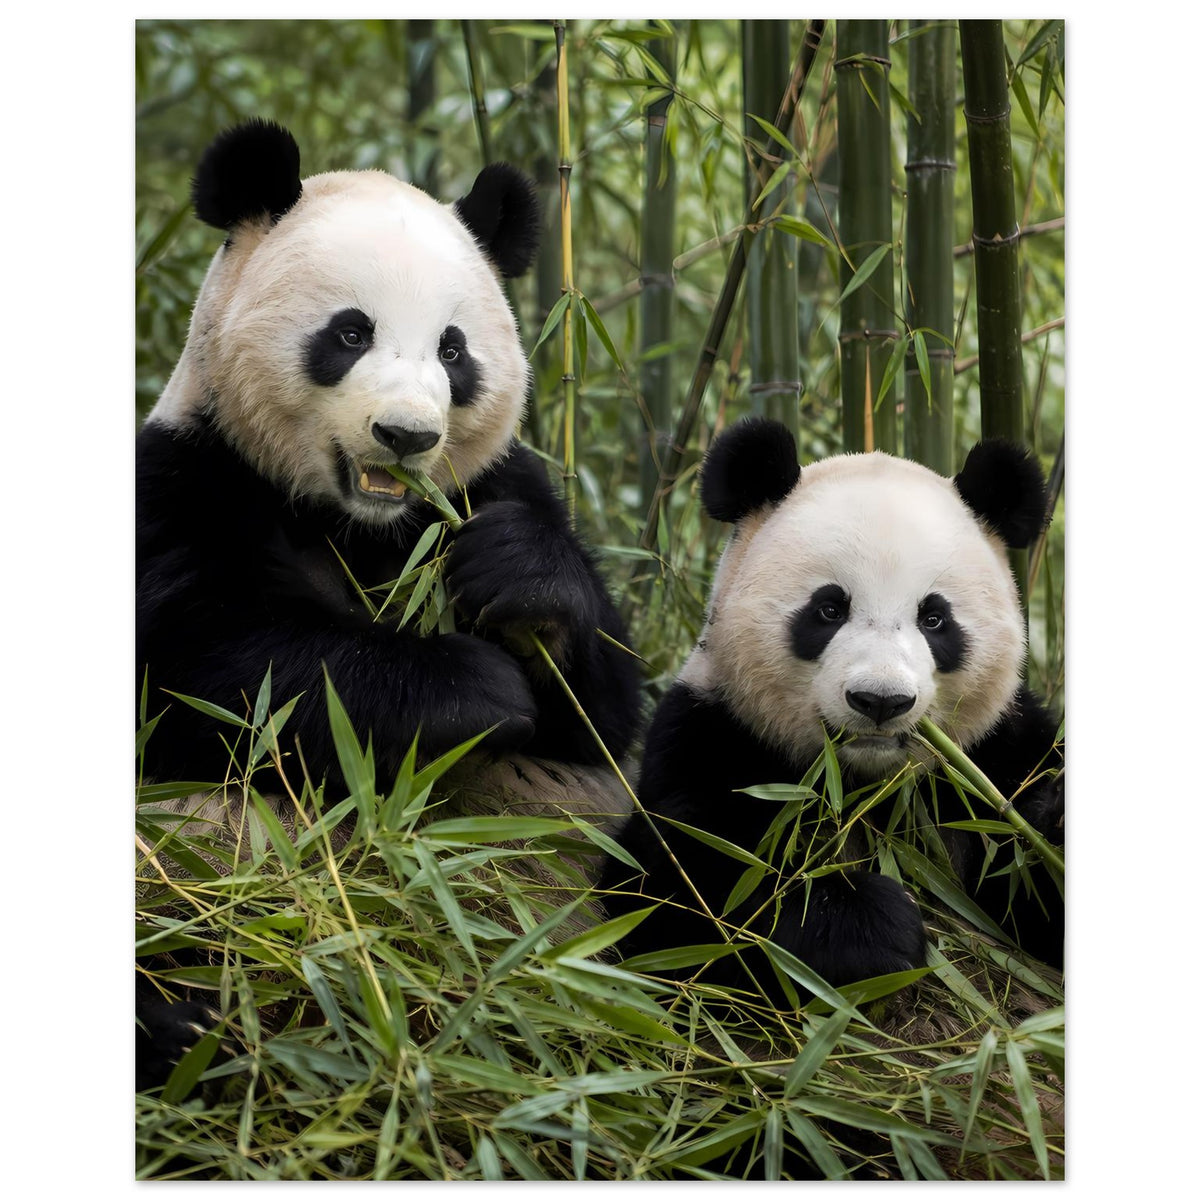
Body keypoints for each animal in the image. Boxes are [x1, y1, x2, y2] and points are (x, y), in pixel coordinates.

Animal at [136, 120, 641, 1087]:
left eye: (453, 349)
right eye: (349, 332)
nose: (405, 436)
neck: (358, 522)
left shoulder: (487, 487)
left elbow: (601, 715)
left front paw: (521, 584)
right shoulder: (185, 485)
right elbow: (221, 677)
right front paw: (474, 689)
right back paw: (193, 1033)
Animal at [601, 416, 1063, 1003]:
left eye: (934, 619)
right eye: (828, 609)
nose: (881, 701)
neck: (865, 787)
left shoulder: (993, 756)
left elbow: (1030, 884)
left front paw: (1057, 819)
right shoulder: (712, 734)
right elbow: (684, 891)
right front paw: (870, 925)